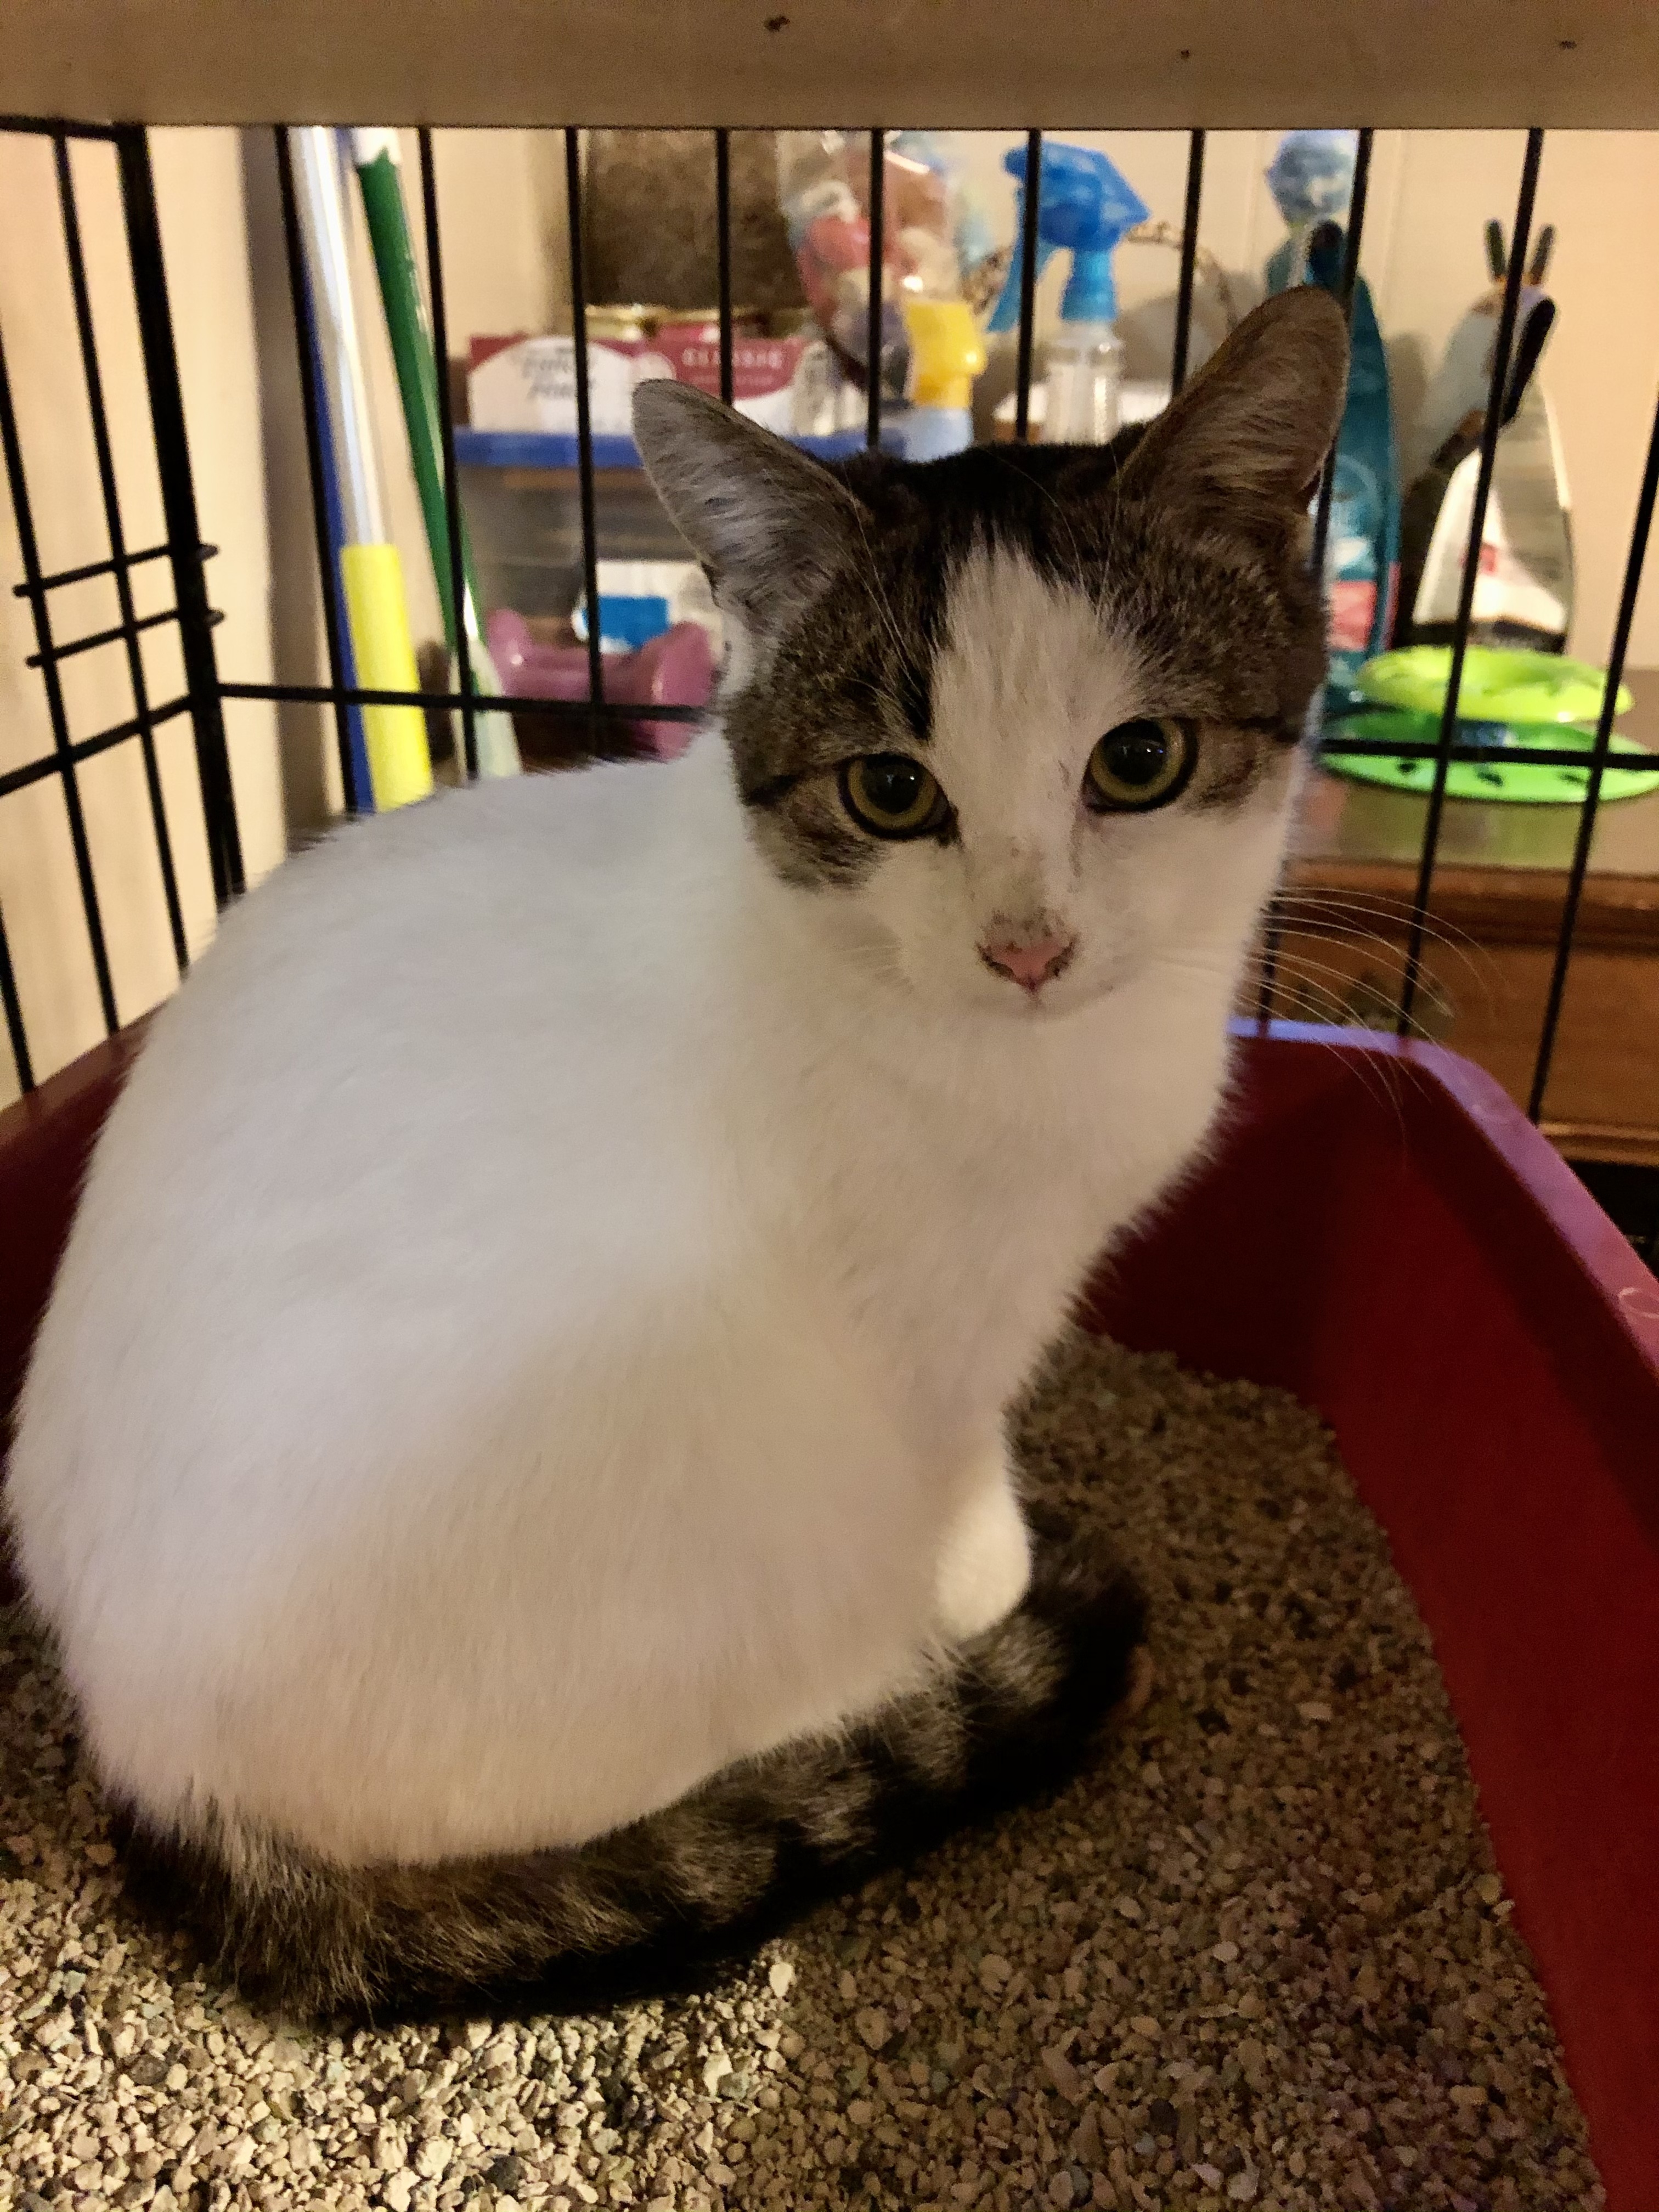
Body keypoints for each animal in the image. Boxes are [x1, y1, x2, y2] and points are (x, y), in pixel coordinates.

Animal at [3, 281, 1353, 2026]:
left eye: (1140, 763)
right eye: (891, 790)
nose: (1028, 944)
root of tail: (158, 1780)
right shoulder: (930, 1335)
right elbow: (957, 1465)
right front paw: (991, 1574)